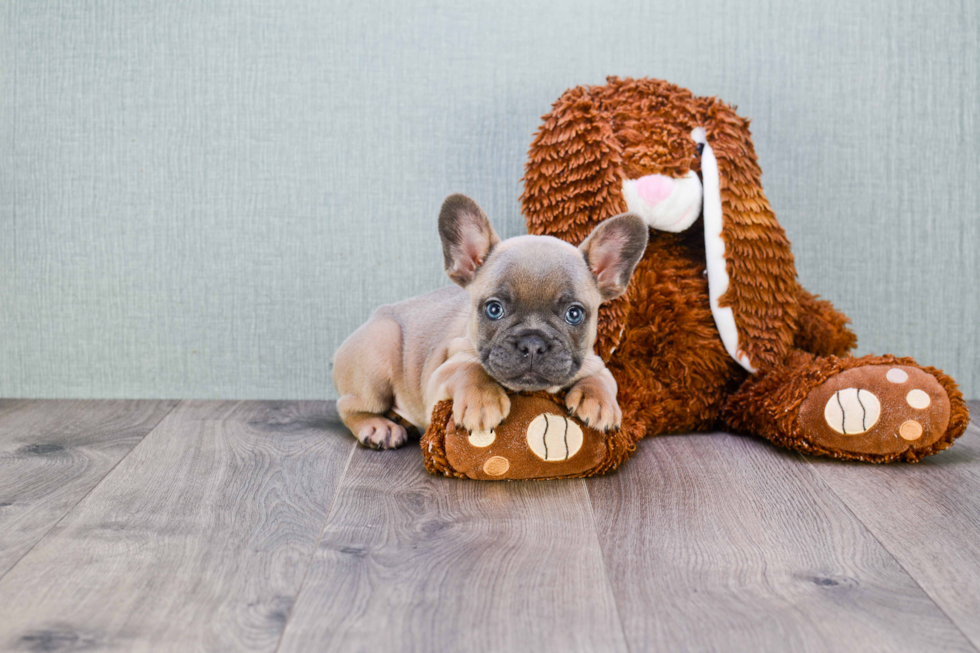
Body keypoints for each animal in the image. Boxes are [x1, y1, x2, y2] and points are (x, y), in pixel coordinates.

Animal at [334, 194, 648, 448]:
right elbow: (471, 369)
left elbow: (601, 380)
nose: (532, 343)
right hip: (378, 353)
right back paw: (379, 426)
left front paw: (599, 402)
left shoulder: (596, 363)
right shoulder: (441, 372)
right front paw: (481, 400)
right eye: (494, 309)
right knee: (349, 407)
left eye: (574, 314)